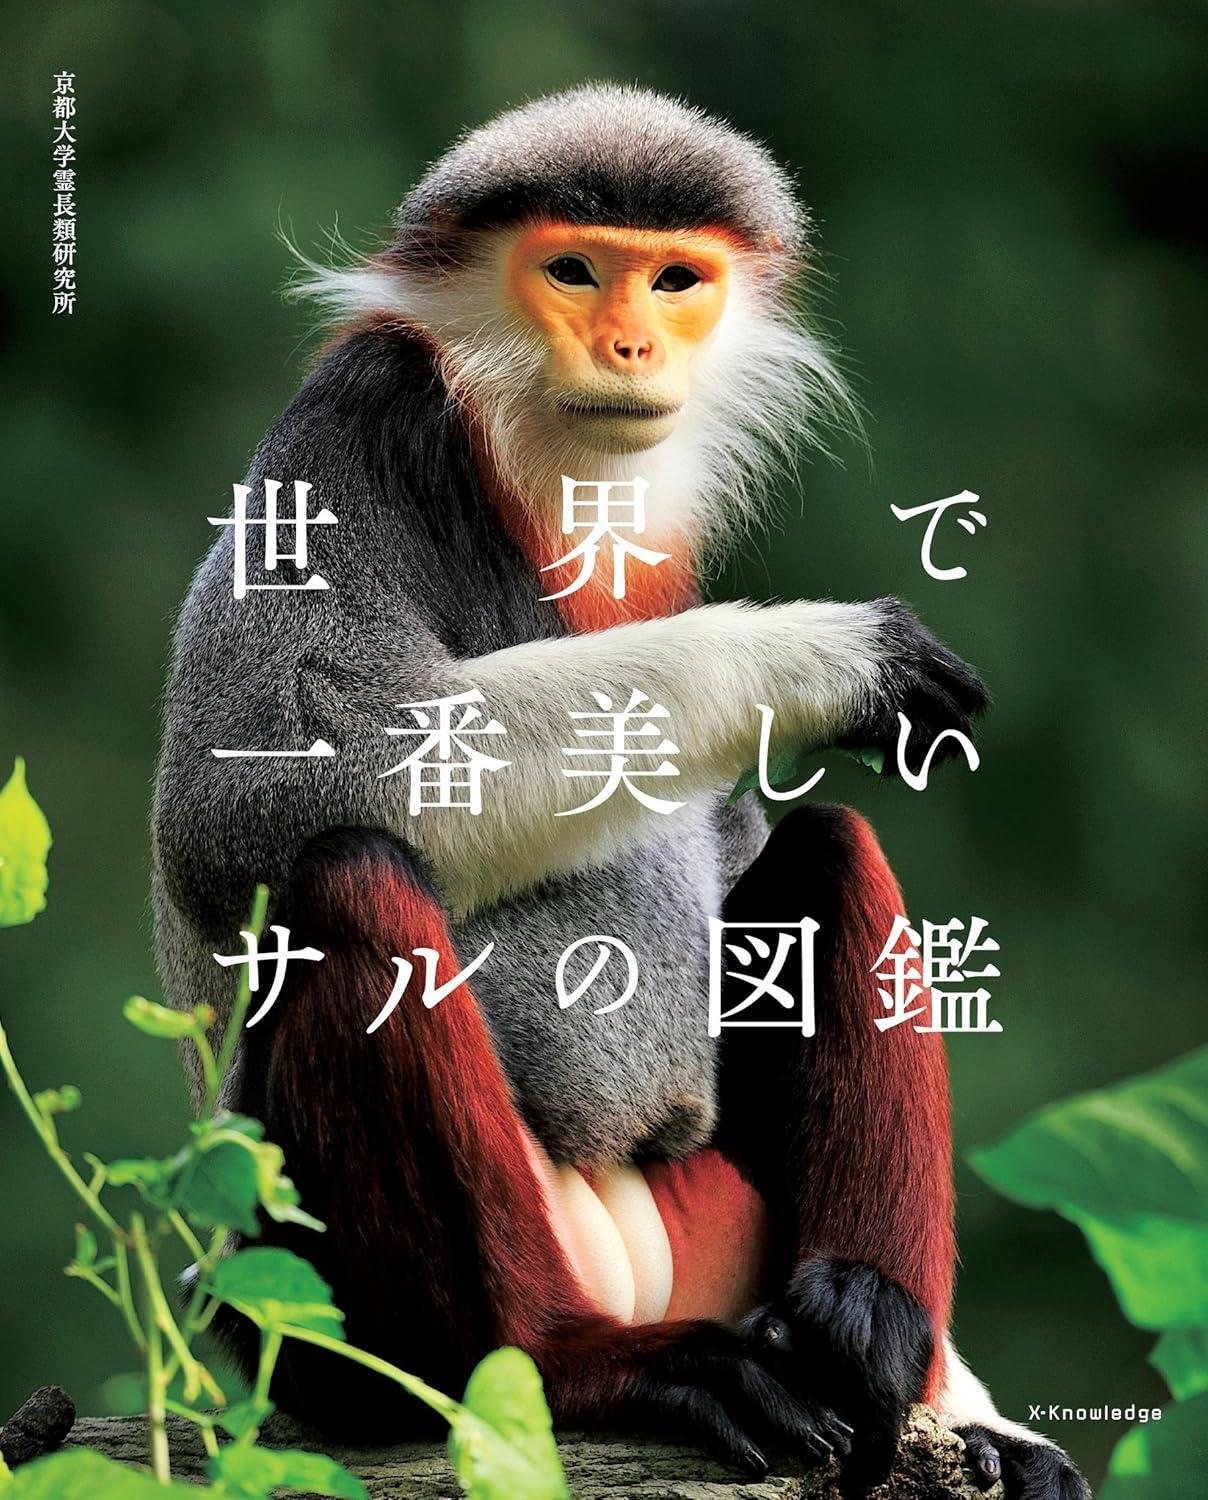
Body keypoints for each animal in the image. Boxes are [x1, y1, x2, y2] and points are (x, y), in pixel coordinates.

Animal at [153, 86, 1089, 1499]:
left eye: (674, 279)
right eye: (573, 272)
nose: (632, 341)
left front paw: (988, 1418)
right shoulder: (351, 424)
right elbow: (255, 790)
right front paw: (828, 658)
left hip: (727, 1222)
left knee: (830, 847)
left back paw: (869, 1331)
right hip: (302, 1301)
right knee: (348, 873)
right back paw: (577, 1366)